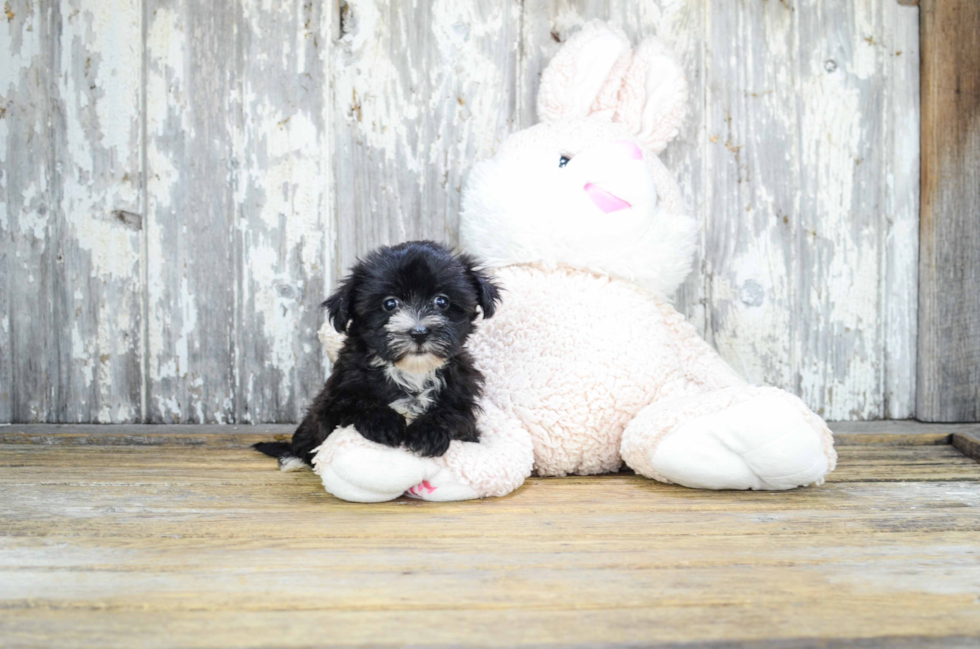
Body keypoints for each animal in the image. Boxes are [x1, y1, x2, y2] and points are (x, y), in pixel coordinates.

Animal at [255, 240, 498, 468]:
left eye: (442, 301)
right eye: (390, 304)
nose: (419, 332)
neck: (412, 371)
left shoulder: (463, 398)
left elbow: (455, 413)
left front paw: (428, 433)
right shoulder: (332, 401)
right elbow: (356, 403)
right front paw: (386, 424)